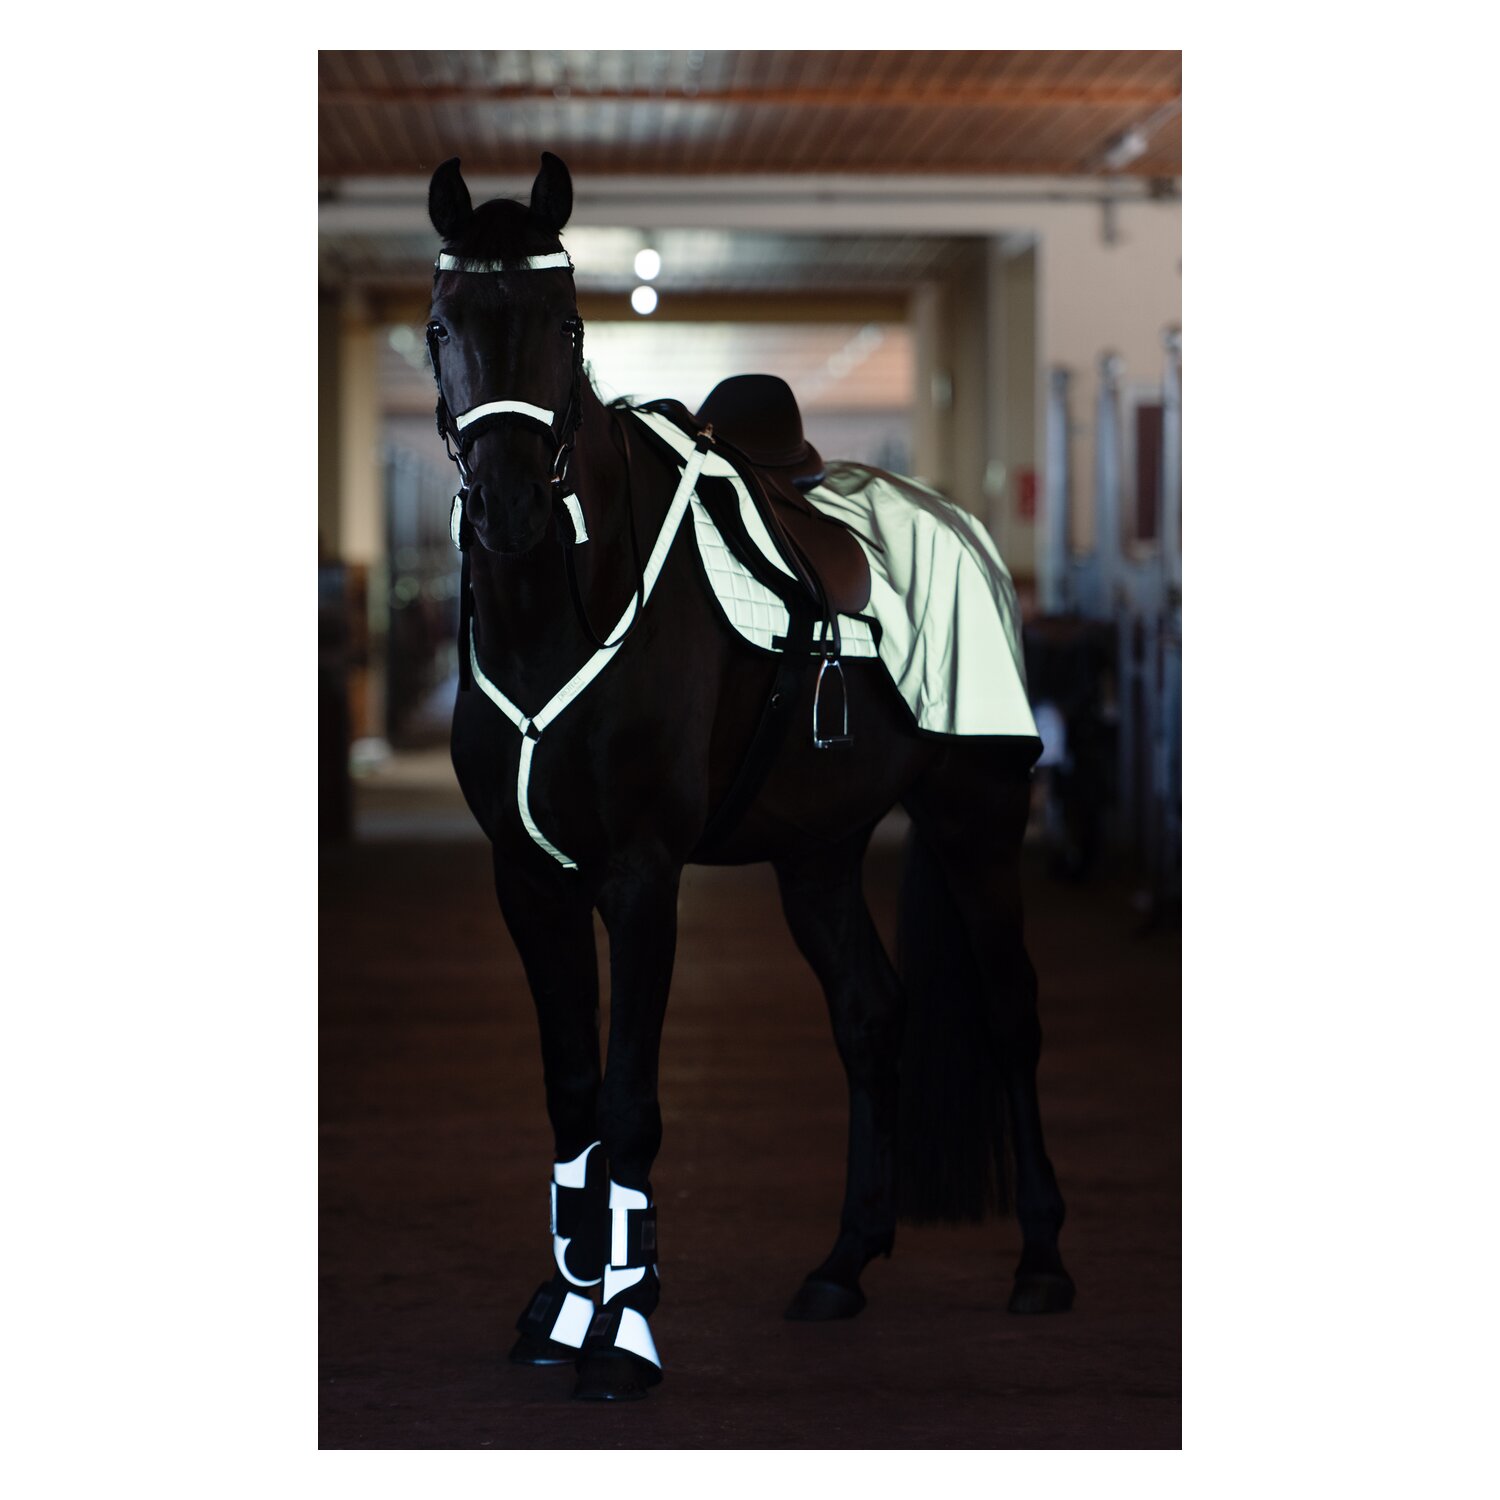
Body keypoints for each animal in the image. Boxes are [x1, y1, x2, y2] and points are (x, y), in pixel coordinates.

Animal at [425, 151, 1075, 1401]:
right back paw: (842, 1266)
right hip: (817, 853)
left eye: (566, 323)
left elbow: (628, 1101)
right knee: (871, 1016)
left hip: (974, 817)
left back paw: (1042, 1265)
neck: (561, 611)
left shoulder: (640, 876)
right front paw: (558, 1307)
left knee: (1011, 1013)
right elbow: (571, 1093)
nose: (514, 506)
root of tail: (962, 528)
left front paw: (623, 1329)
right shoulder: (526, 878)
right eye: (441, 328)